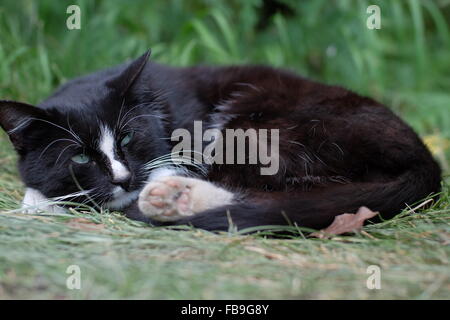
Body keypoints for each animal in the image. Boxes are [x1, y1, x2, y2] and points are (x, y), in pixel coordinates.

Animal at [0, 48, 442, 231]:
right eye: (79, 158)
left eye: (127, 137)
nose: (124, 179)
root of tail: (427, 159)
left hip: (260, 123)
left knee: (278, 193)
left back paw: (175, 198)